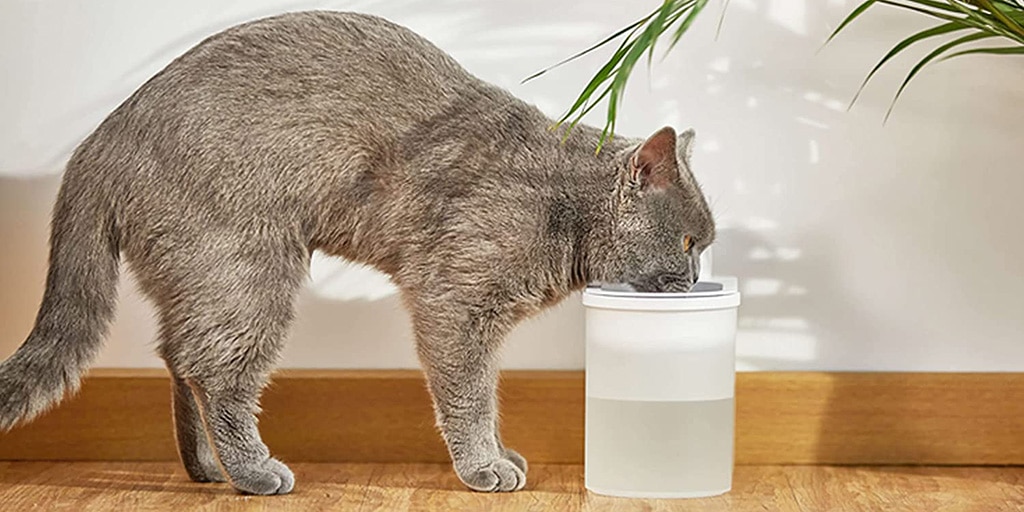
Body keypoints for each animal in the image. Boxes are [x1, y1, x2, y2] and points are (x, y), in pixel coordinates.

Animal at [0, 11, 712, 491]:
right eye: (687, 241)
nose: (696, 275)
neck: (565, 211)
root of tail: (101, 139)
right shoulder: (454, 300)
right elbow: (469, 392)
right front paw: (483, 465)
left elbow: (485, 390)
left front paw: (500, 455)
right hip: (246, 268)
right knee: (216, 373)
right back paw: (254, 471)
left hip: (199, 277)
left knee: (179, 357)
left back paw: (205, 467)